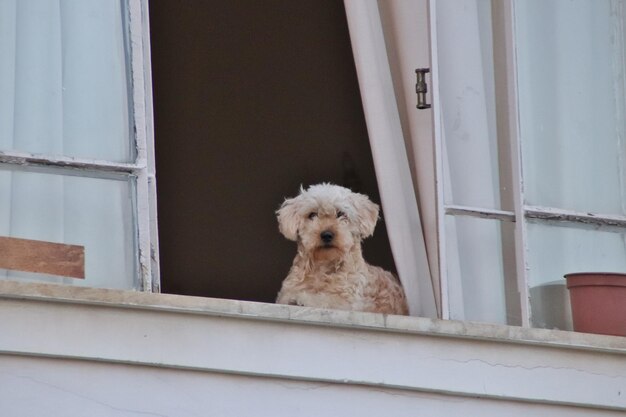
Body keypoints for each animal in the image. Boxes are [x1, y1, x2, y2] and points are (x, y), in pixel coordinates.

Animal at [274, 184, 410, 314]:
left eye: (341, 214)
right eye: (312, 215)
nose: (327, 234)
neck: (322, 267)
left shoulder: (348, 302)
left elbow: (324, 299)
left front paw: (301, 299)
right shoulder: (286, 291)